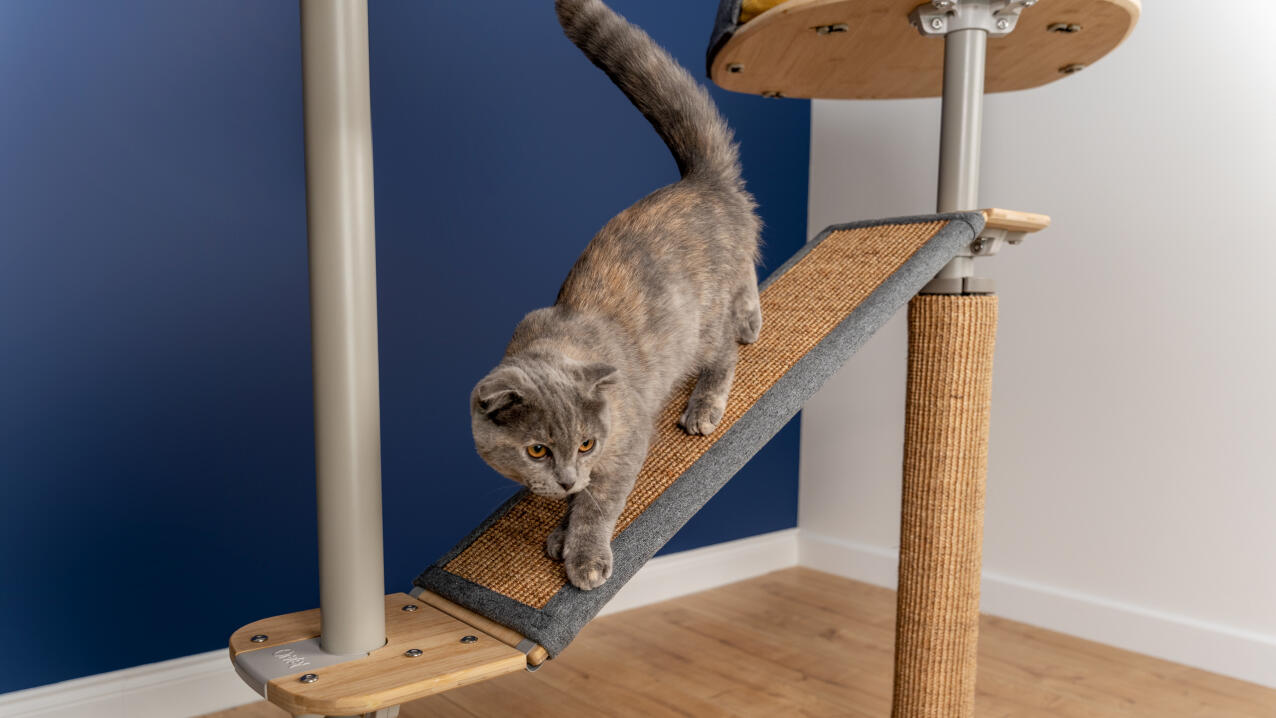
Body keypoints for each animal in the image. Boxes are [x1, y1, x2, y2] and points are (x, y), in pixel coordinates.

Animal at [474, 0, 760, 589]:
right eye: (537, 450)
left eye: (585, 441)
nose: (564, 477)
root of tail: (701, 181)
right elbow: (582, 496)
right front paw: (561, 527)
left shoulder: (625, 443)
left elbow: (599, 502)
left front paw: (582, 553)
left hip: (700, 323)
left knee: (724, 347)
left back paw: (708, 398)